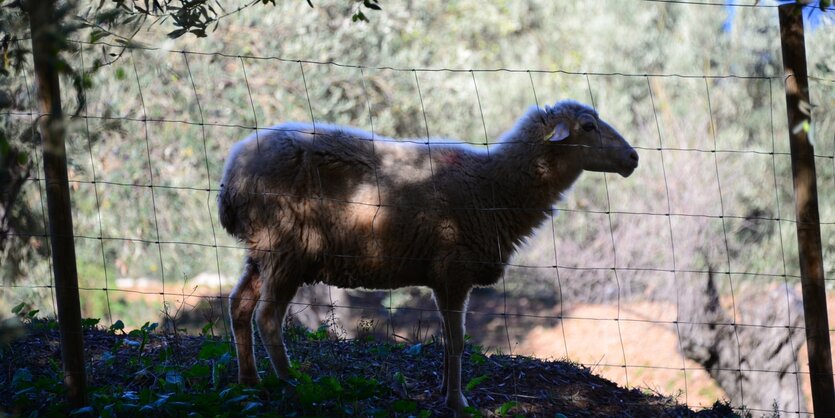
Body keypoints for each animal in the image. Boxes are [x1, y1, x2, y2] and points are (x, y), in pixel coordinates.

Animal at [217, 99, 640, 414]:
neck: (494, 186)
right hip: (285, 247)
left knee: (239, 305)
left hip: (262, 251)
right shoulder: (454, 272)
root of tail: (232, 173)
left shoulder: (441, 277)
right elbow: (457, 341)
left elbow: (449, 340)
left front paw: (443, 390)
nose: (633, 158)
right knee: (268, 317)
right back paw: (290, 382)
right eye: (588, 126)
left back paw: (249, 381)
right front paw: (457, 401)